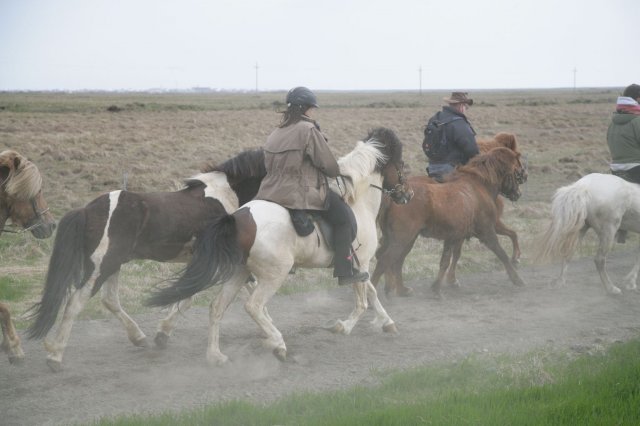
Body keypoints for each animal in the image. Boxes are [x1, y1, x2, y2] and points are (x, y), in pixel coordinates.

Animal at [26, 149, 266, 370]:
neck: (224, 196)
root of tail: (86, 210)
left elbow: (187, 295)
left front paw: (162, 334)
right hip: (101, 266)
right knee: (75, 303)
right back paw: (55, 356)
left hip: (113, 264)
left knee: (109, 300)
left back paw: (139, 338)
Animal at [372, 133, 524, 296]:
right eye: (517, 171)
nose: (517, 194)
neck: (477, 186)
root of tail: (395, 196)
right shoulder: (487, 231)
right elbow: (502, 253)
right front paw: (516, 277)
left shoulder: (453, 237)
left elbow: (446, 260)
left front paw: (438, 287)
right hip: (402, 239)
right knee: (385, 260)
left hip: (403, 239)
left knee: (393, 260)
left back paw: (398, 289)